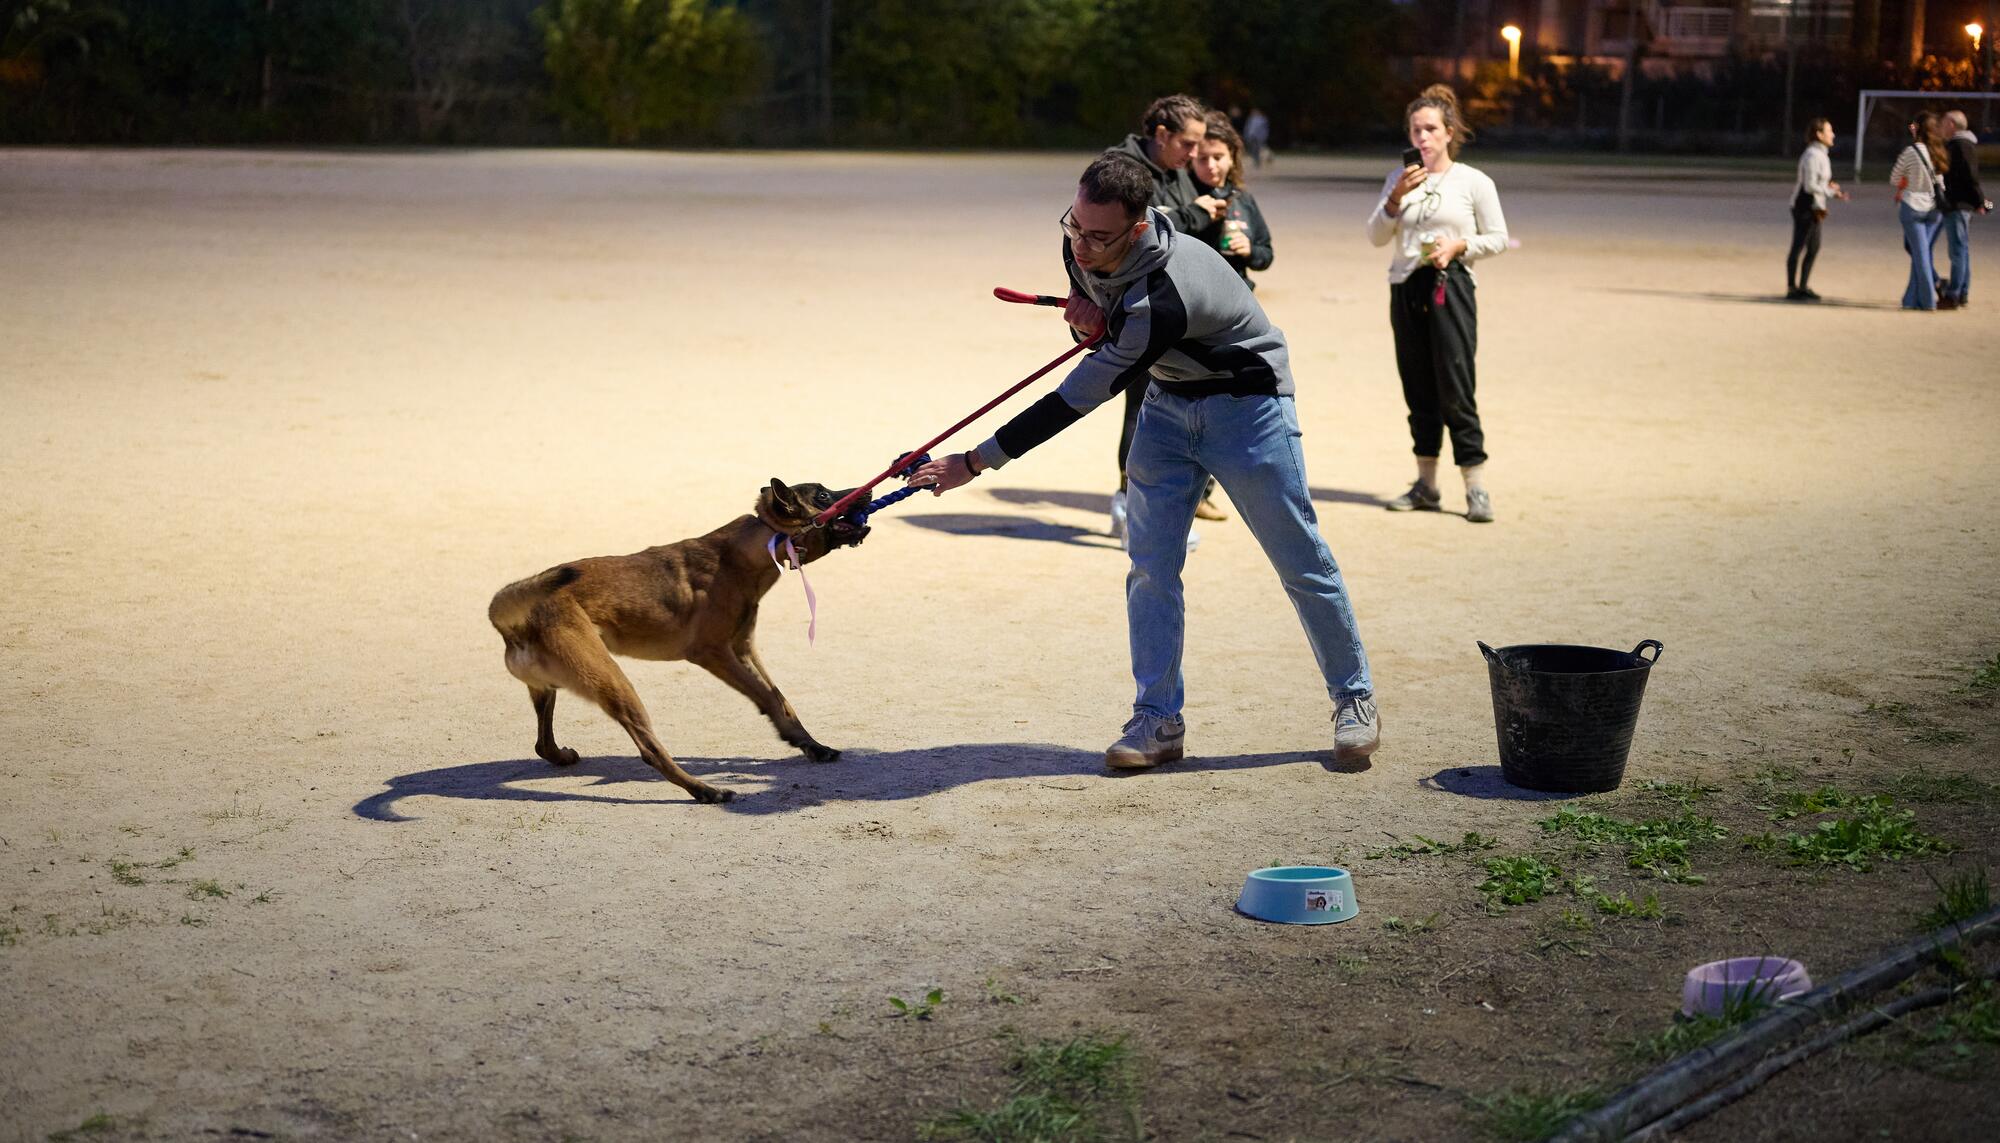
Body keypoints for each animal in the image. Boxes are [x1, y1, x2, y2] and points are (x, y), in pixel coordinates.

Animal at [488, 481, 872, 803]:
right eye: (822, 494)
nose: (867, 492)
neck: (743, 553)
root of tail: (513, 621)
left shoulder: (744, 649)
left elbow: (781, 700)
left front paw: (810, 744)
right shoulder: (714, 654)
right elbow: (767, 698)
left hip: (548, 688)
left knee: (542, 744)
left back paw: (562, 756)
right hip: (614, 684)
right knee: (650, 750)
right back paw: (704, 790)